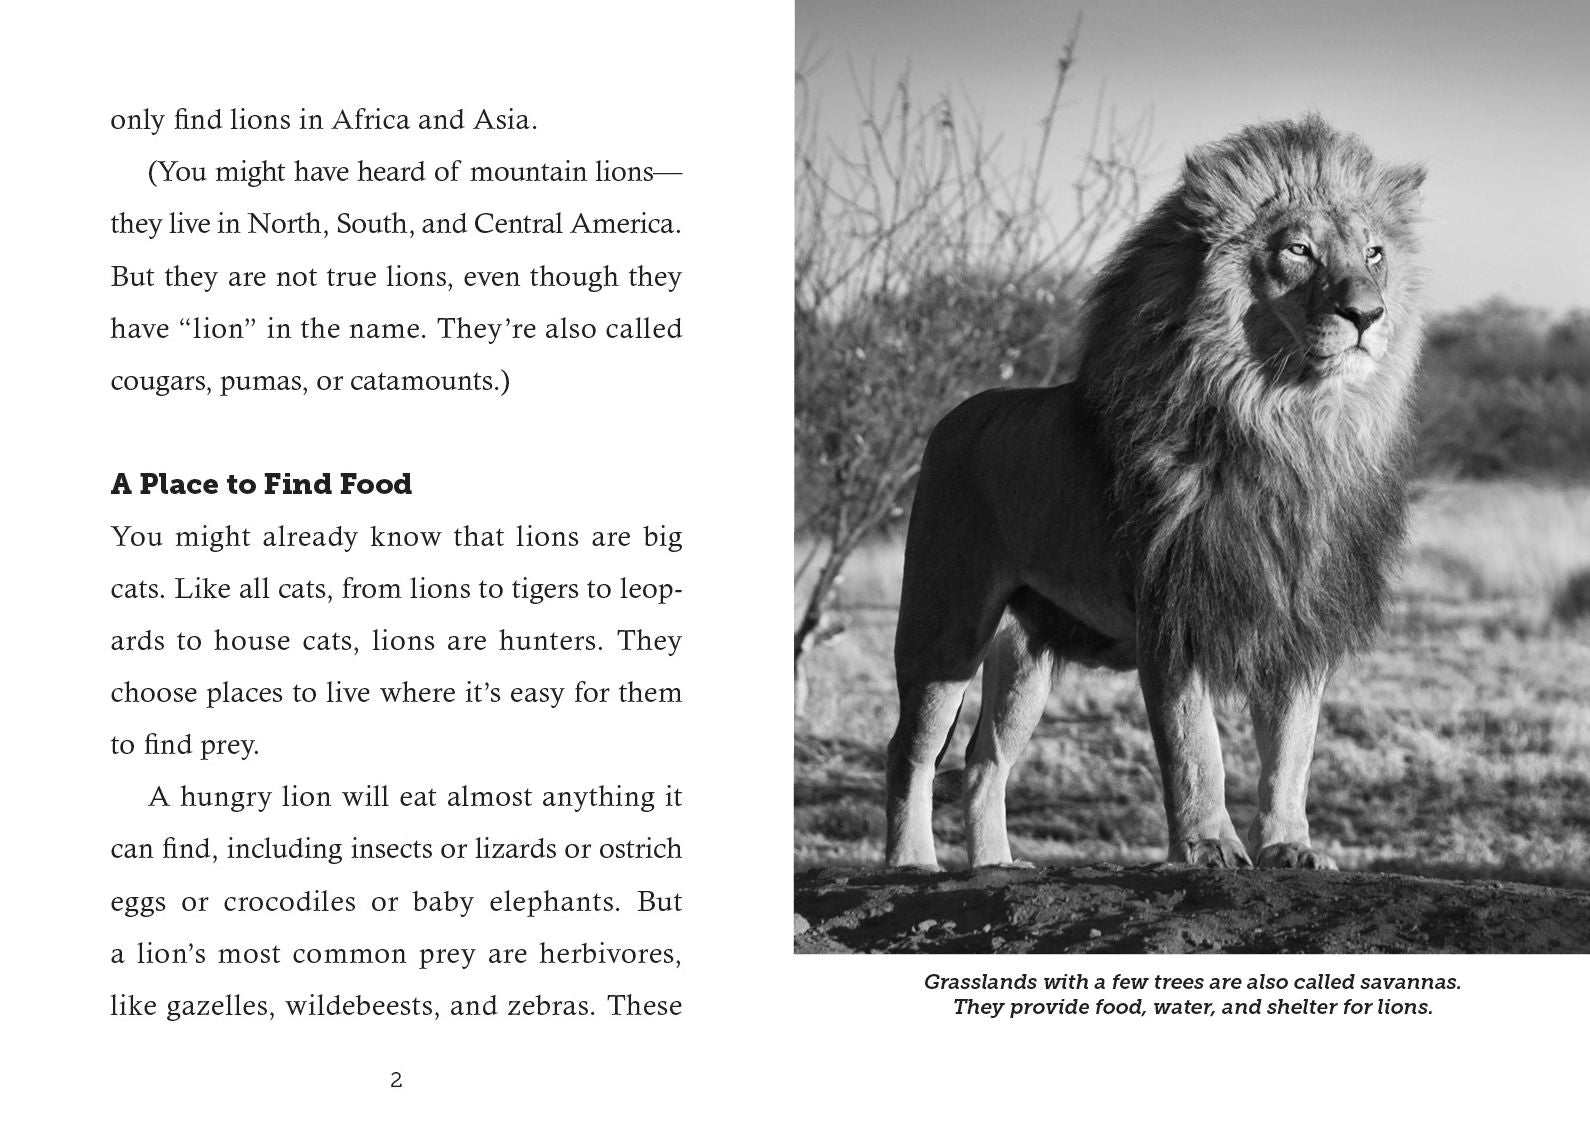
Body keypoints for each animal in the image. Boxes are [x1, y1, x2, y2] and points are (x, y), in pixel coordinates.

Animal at [884, 115, 1426, 871]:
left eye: (1375, 253)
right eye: (1298, 250)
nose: (1367, 315)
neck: (1290, 425)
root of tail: (953, 415)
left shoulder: (1299, 618)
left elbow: (1291, 750)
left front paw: (1290, 846)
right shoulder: (1172, 612)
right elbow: (1196, 747)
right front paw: (1208, 847)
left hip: (1024, 654)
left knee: (984, 760)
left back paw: (995, 866)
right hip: (945, 624)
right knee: (911, 750)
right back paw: (911, 863)